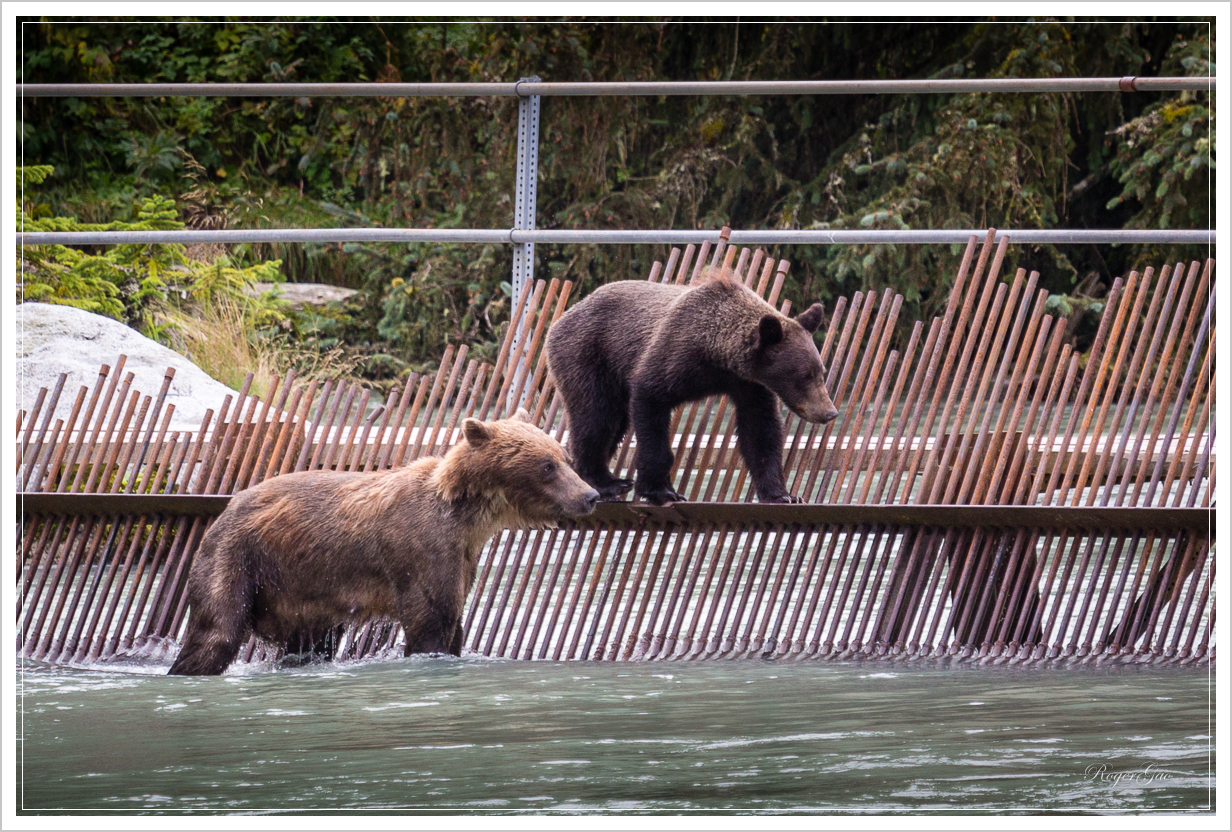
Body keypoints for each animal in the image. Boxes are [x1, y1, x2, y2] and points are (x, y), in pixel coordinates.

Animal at [166, 409, 598, 675]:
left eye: (564, 456)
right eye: (546, 465)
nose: (590, 495)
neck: (468, 516)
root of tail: (228, 504)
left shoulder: (462, 558)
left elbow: (454, 619)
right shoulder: (423, 549)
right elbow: (431, 622)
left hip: (301, 589)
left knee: (311, 643)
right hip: (238, 557)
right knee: (216, 631)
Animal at [547, 274, 842, 507]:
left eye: (820, 371)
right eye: (804, 376)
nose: (830, 412)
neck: (717, 356)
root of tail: (563, 316)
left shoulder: (748, 385)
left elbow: (760, 431)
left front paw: (783, 494)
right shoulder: (674, 356)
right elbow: (650, 403)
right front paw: (662, 490)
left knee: (612, 422)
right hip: (588, 355)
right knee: (596, 416)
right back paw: (607, 482)